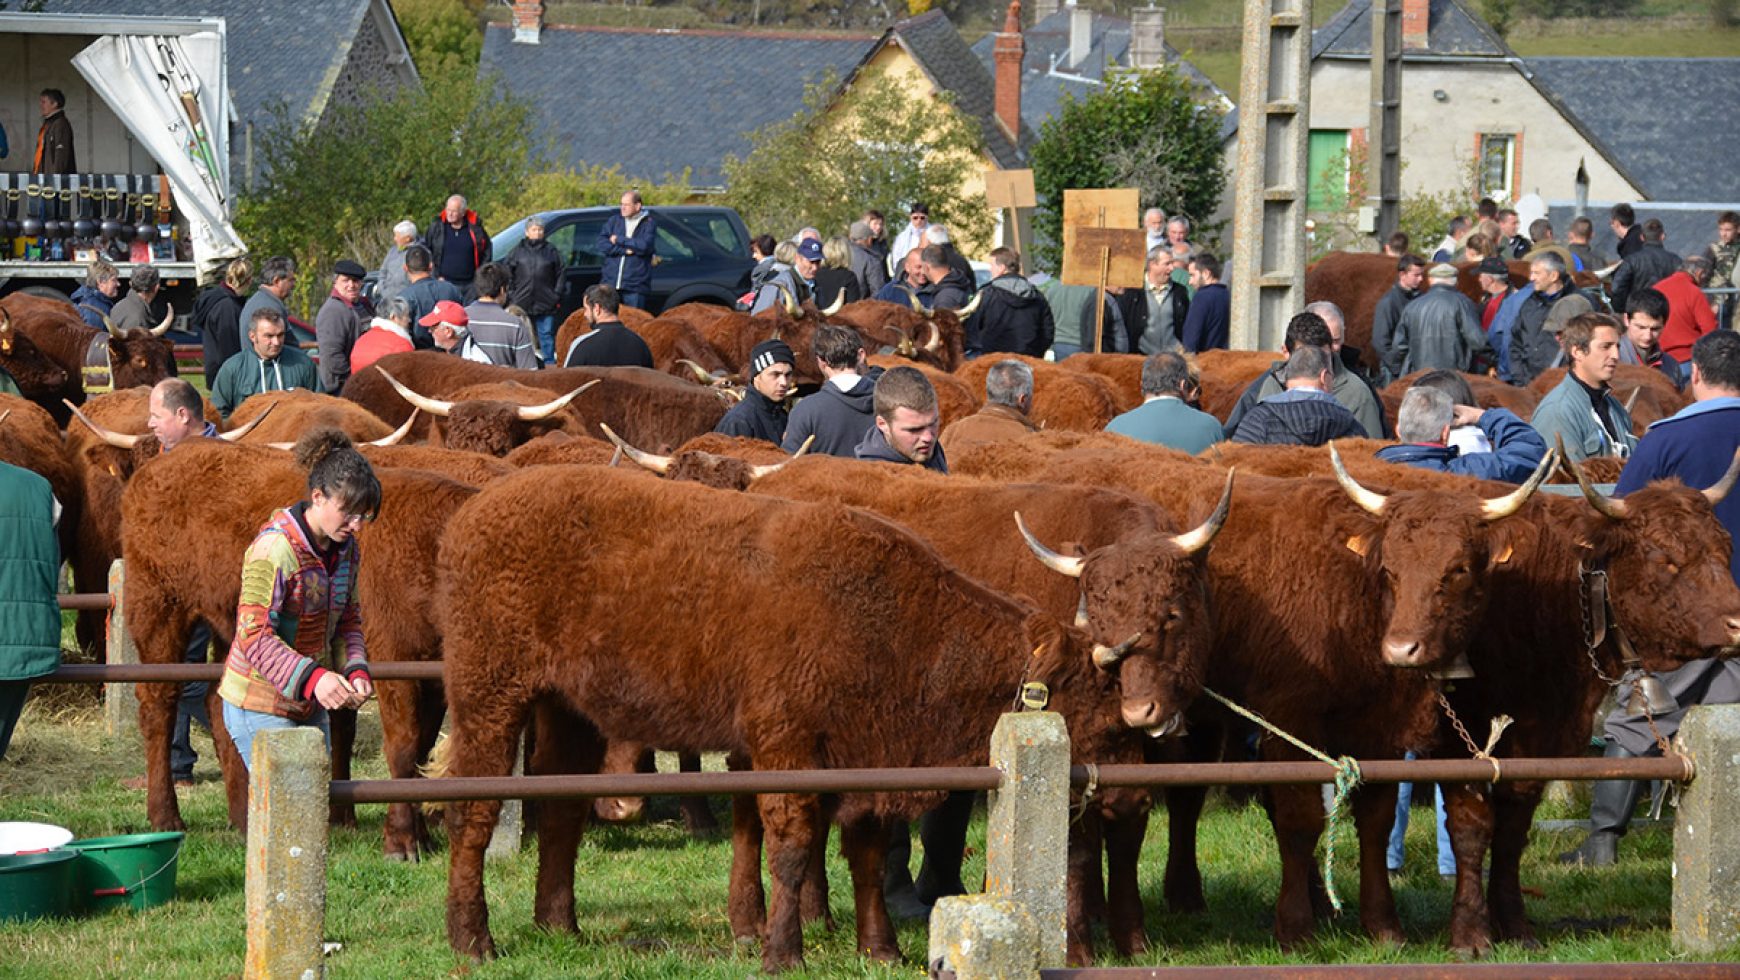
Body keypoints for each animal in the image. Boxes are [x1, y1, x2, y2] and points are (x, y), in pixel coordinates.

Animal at [433, 466, 1141, 974]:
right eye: (1104, 710)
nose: (1132, 797)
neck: (891, 622)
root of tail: (473, 513)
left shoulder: (863, 761)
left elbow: (864, 851)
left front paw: (879, 949)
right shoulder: (788, 745)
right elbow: (793, 842)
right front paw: (783, 951)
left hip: (567, 710)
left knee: (560, 809)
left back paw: (560, 925)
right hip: (487, 697)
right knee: (473, 808)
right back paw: (473, 941)